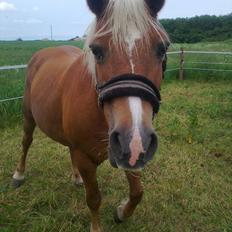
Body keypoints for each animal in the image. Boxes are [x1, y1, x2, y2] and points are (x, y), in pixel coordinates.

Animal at [12, 0, 169, 232]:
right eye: (97, 51)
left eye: (162, 48)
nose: (133, 138)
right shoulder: (86, 158)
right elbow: (94, 198)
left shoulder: (131, 154)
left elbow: (137, 192)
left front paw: (121, 213)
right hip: (28, 116)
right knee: (26, 142)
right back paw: (19, 174)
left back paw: (77, 178)